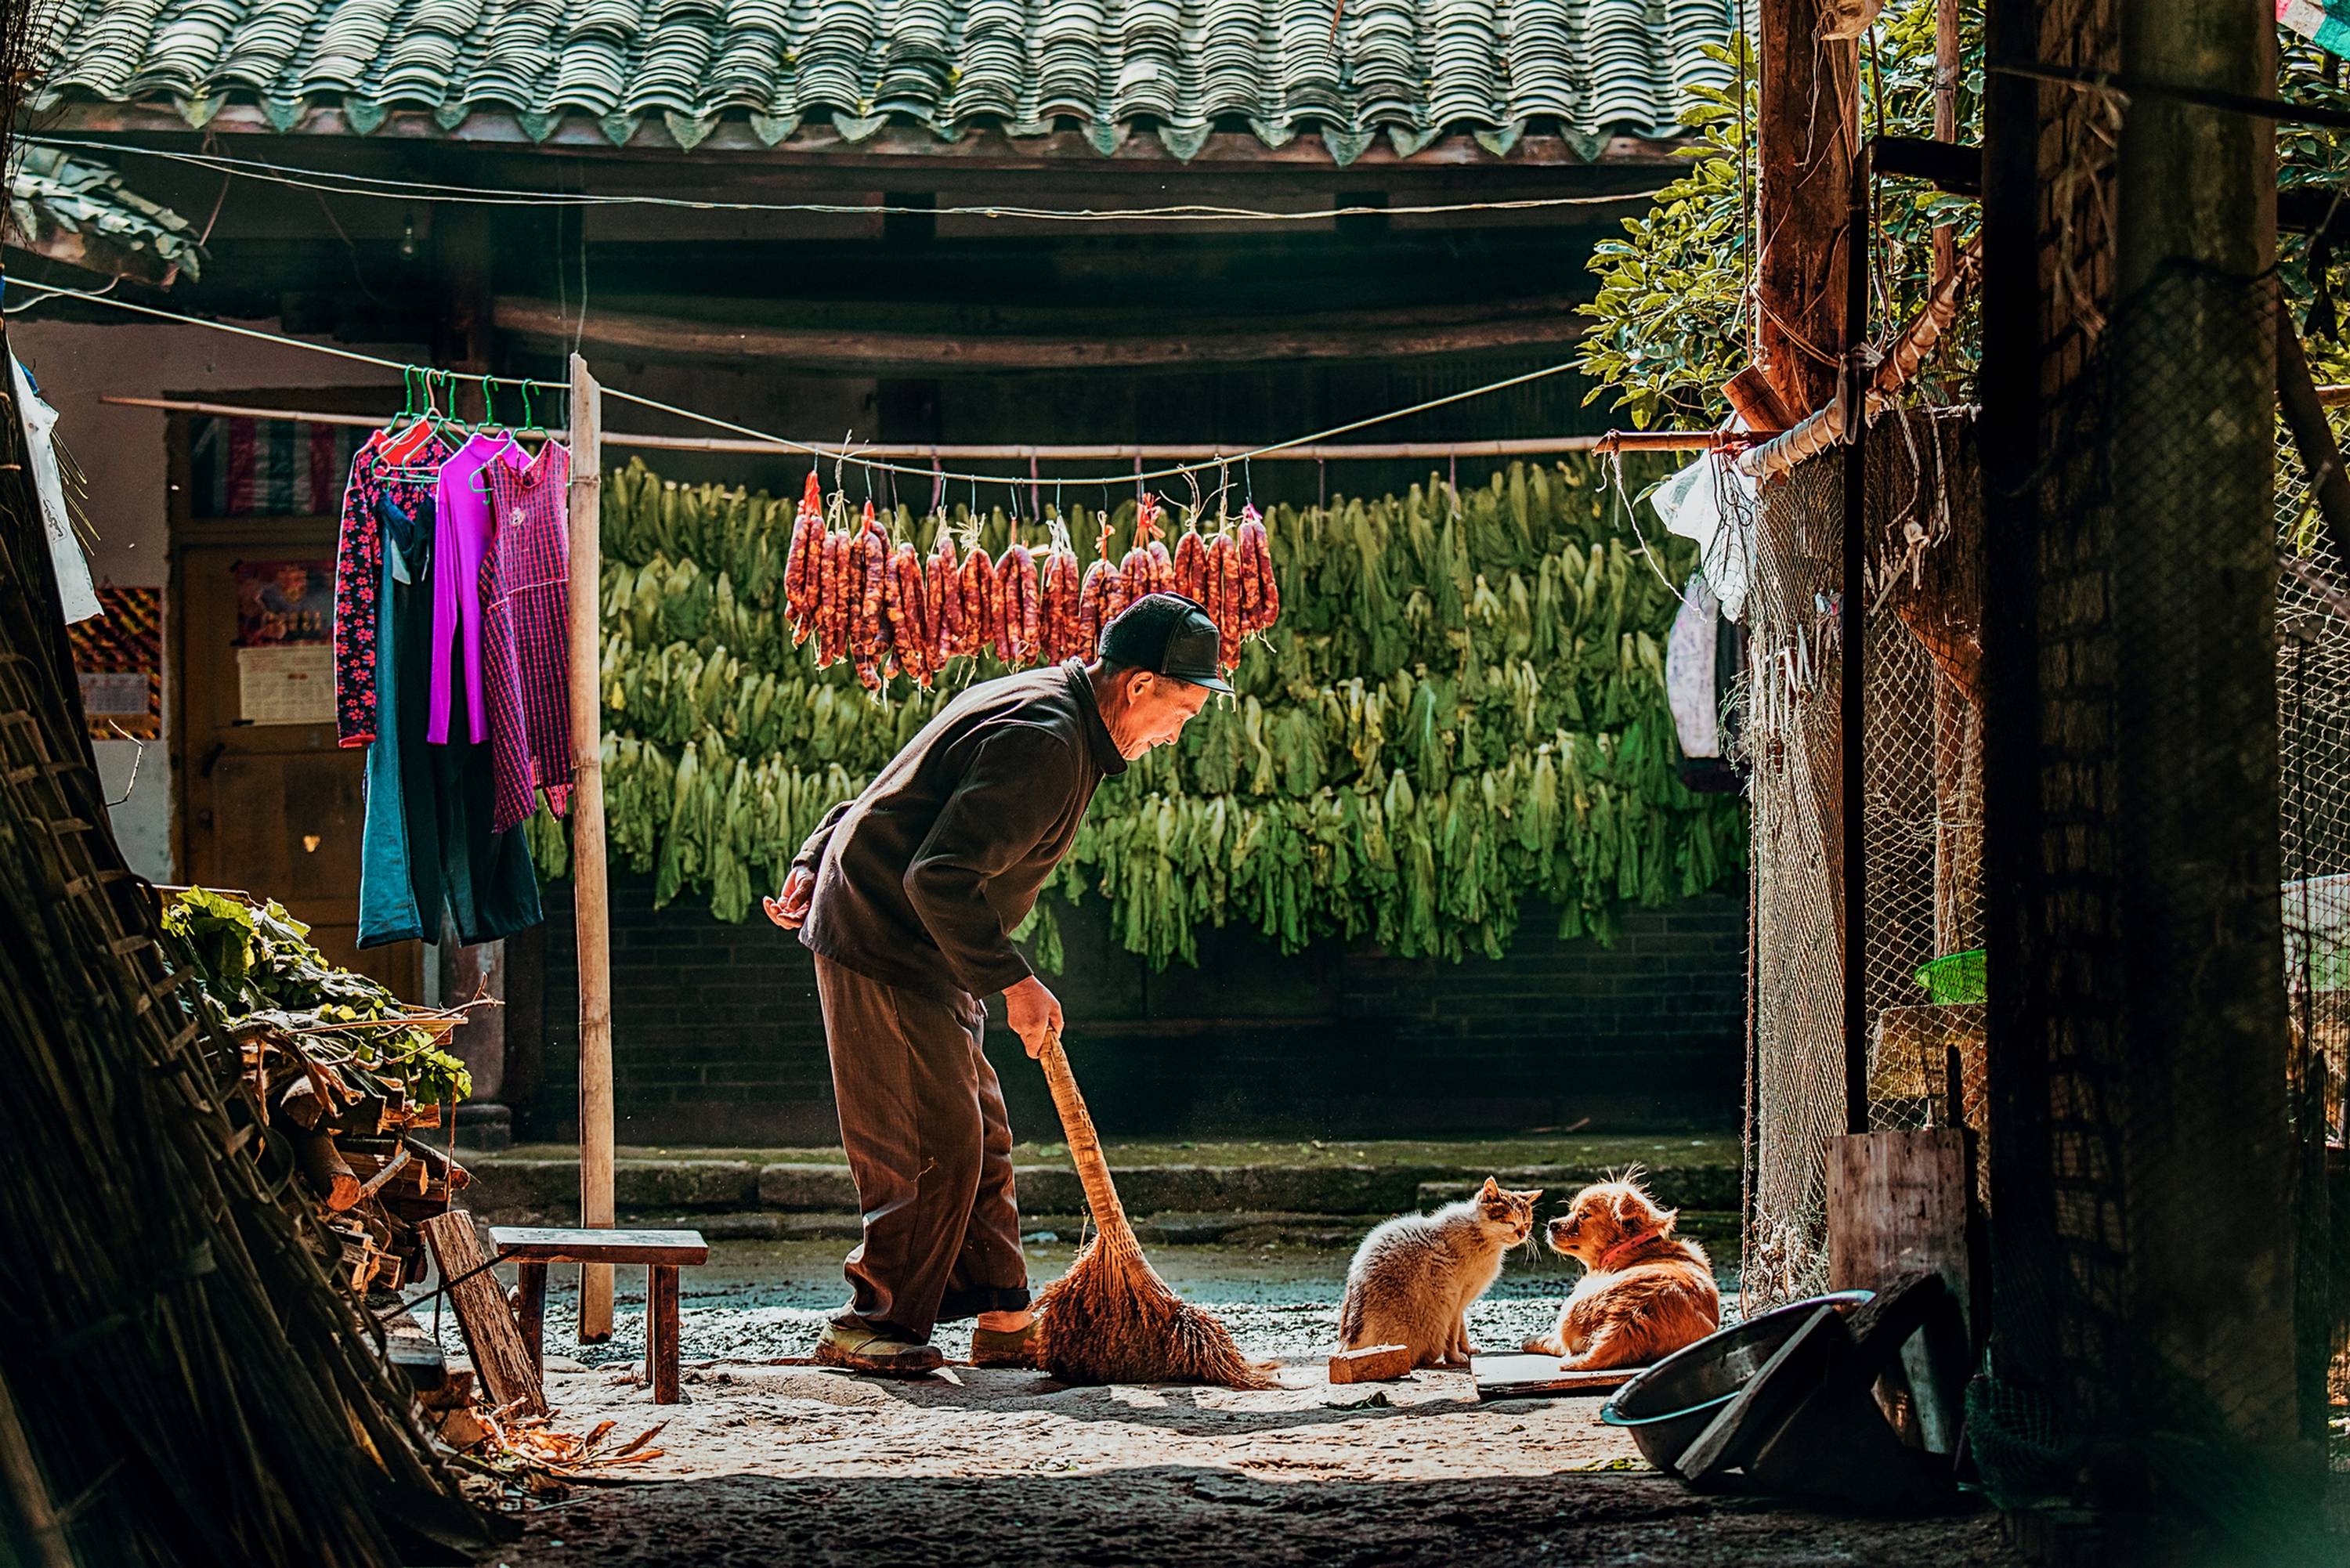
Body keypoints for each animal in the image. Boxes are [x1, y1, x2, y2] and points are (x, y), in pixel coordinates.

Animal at [1513, 1170, 1720, 1363]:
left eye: (1583, 1215)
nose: (1551, 1224)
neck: (1635, 1248)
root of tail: (1628, 1318)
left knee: (1560, 1346)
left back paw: (1531, 1340)